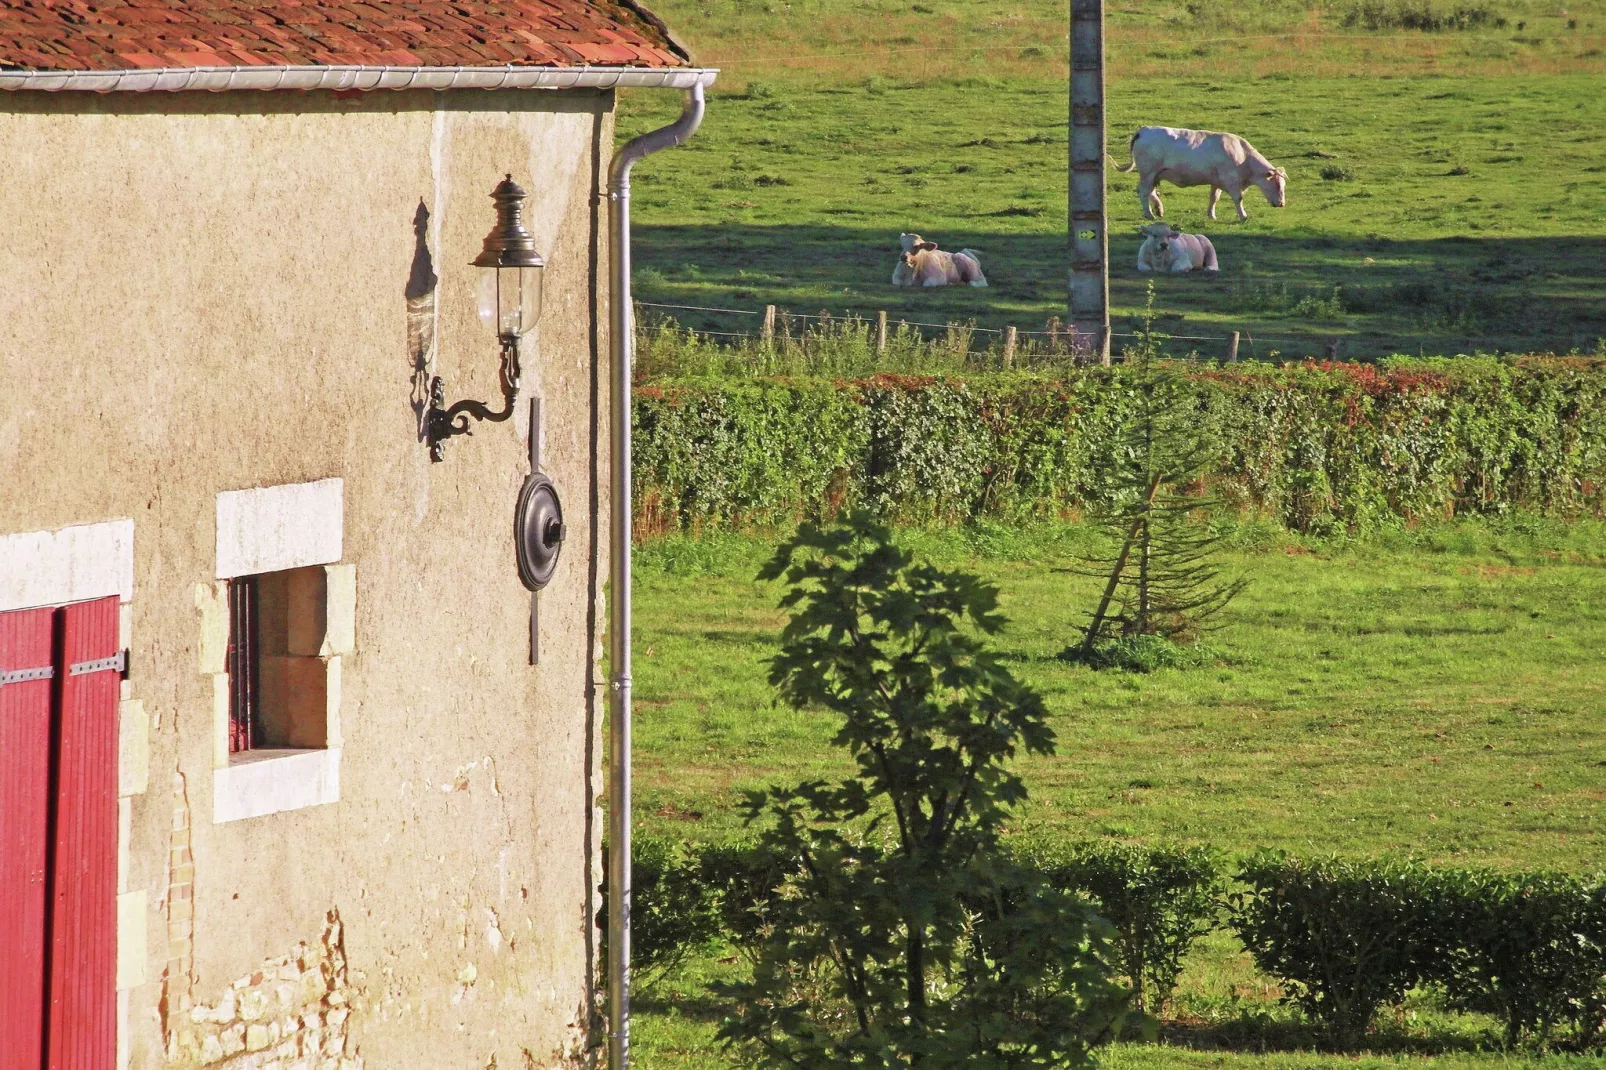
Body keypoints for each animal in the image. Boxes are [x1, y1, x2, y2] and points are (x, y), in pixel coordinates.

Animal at [1124, 125, 1284, 220]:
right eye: (1277, 185)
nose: (1282, 204)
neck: (1243, 155)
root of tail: (1144, 129)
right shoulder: (1230, 179)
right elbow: (1238, 198)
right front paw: (1243, 216)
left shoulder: (1216, 181)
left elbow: (1214, 198)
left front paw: (1211, 215)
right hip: (1148, 172)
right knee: (1144, 191)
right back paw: (1149, 214)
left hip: (1153, 175)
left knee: (1150, 191)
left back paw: (1158, 209)